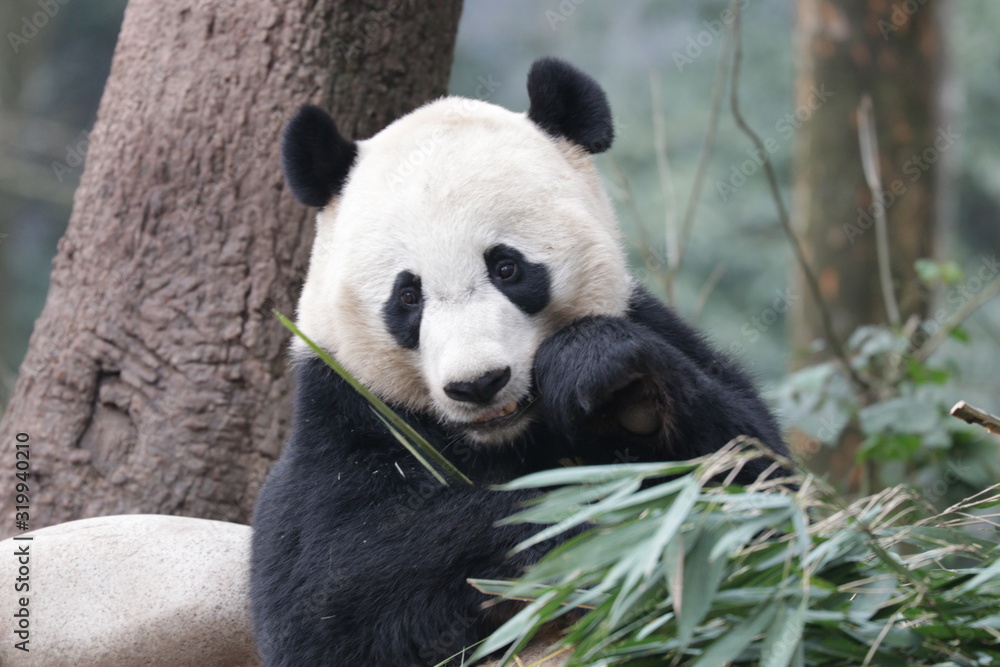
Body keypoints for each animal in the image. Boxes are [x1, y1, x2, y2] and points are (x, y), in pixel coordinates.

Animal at [250, 57, 787, 666]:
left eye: (506, 267)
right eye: (407, 296)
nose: (479, 383)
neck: (501, 437)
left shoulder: (650, 323)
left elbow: (760, 479)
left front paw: (617, 394)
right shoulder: (343, 415)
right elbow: (331, 591)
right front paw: (577, 523)